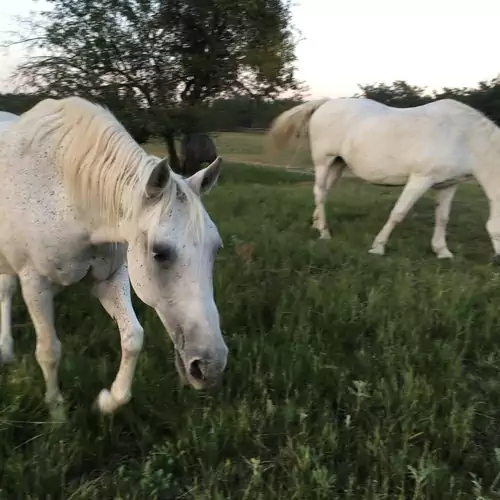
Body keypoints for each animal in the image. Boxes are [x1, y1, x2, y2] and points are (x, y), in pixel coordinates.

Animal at [0, 95, 229, 420]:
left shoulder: (109, 278)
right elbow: (48, 351)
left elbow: (132, 337)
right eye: (159, 253)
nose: (210, 367)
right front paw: (57, 412)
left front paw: (108, 400)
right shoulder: (35, 283)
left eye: (215, 249)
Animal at [270, 98, 500, 262]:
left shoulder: (448, 185)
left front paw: (442, 251)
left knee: (324, 192)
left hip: (337, 164)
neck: (465, 137)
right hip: (323, 162)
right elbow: (398, 213)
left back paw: (317, 225)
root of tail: (326, 102)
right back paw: (324, 233)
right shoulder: (420, 179)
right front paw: (378, 247)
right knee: (319, 193)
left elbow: (442, 218)